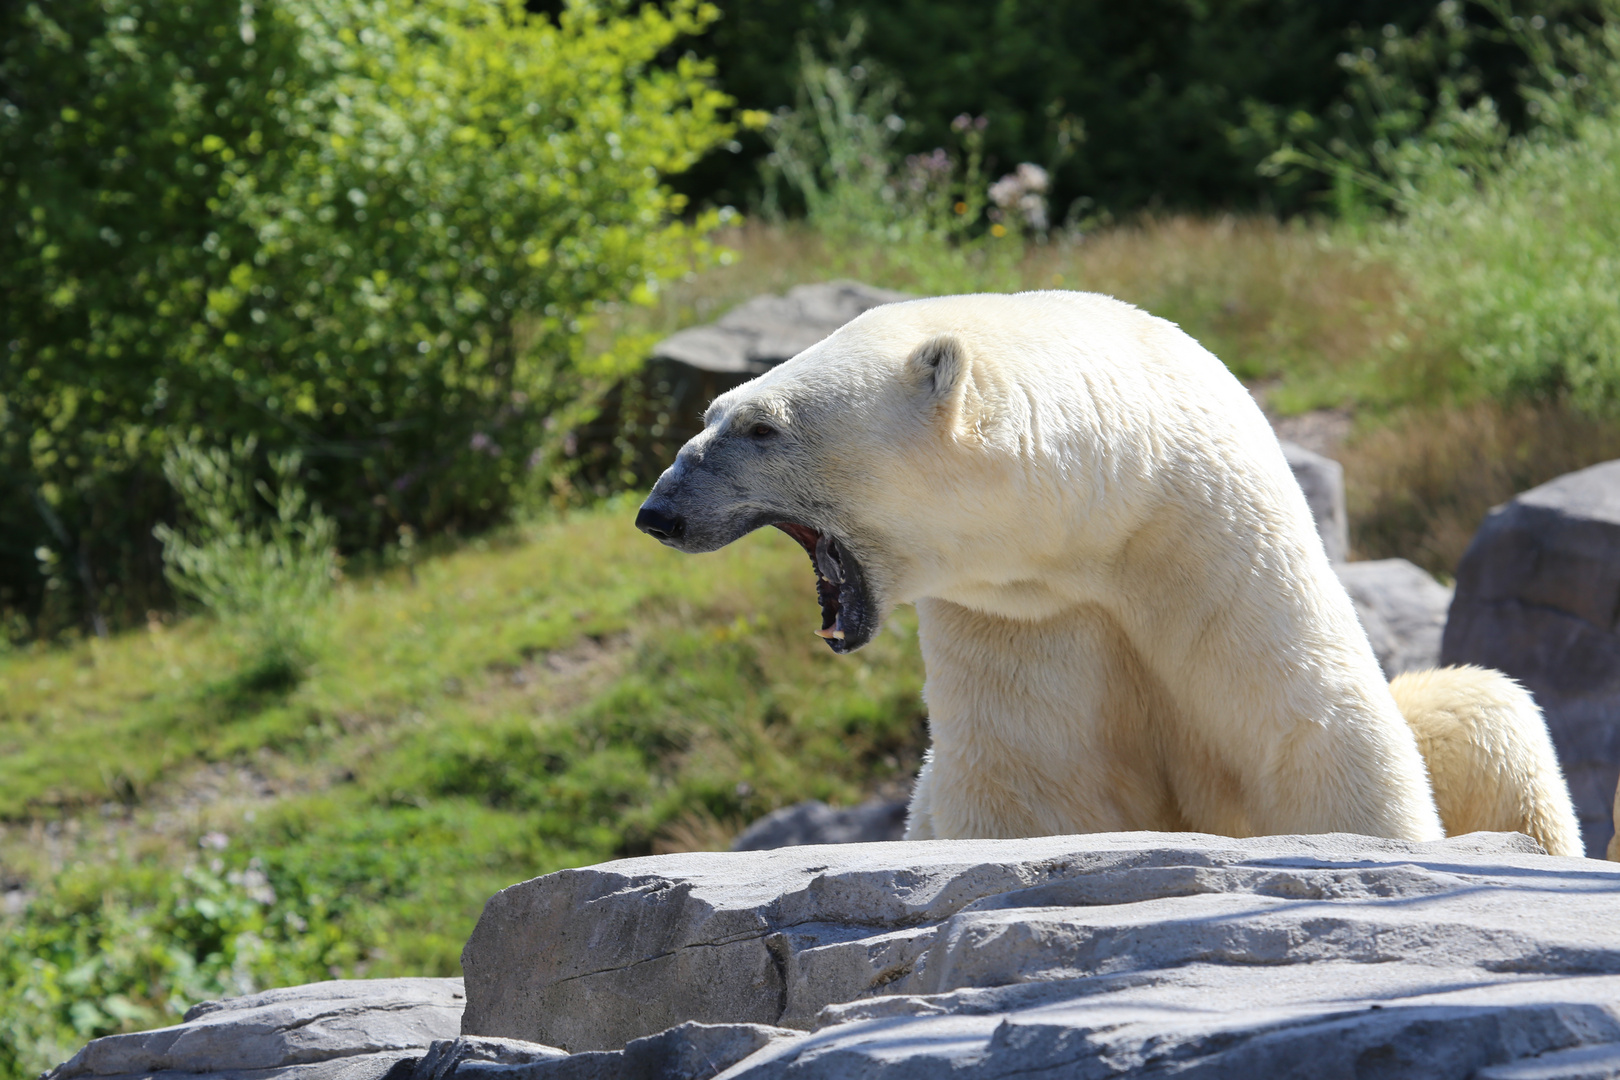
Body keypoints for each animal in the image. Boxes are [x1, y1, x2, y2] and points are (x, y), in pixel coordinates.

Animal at [635, 291, 1581, 854]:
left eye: (760, 426)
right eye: (712, 410)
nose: (658, 512)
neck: (1114, 512)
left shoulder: (1215, 550)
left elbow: (1318, 744)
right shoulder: (1023, 621)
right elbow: (1029, 790)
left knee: (1487, 711)